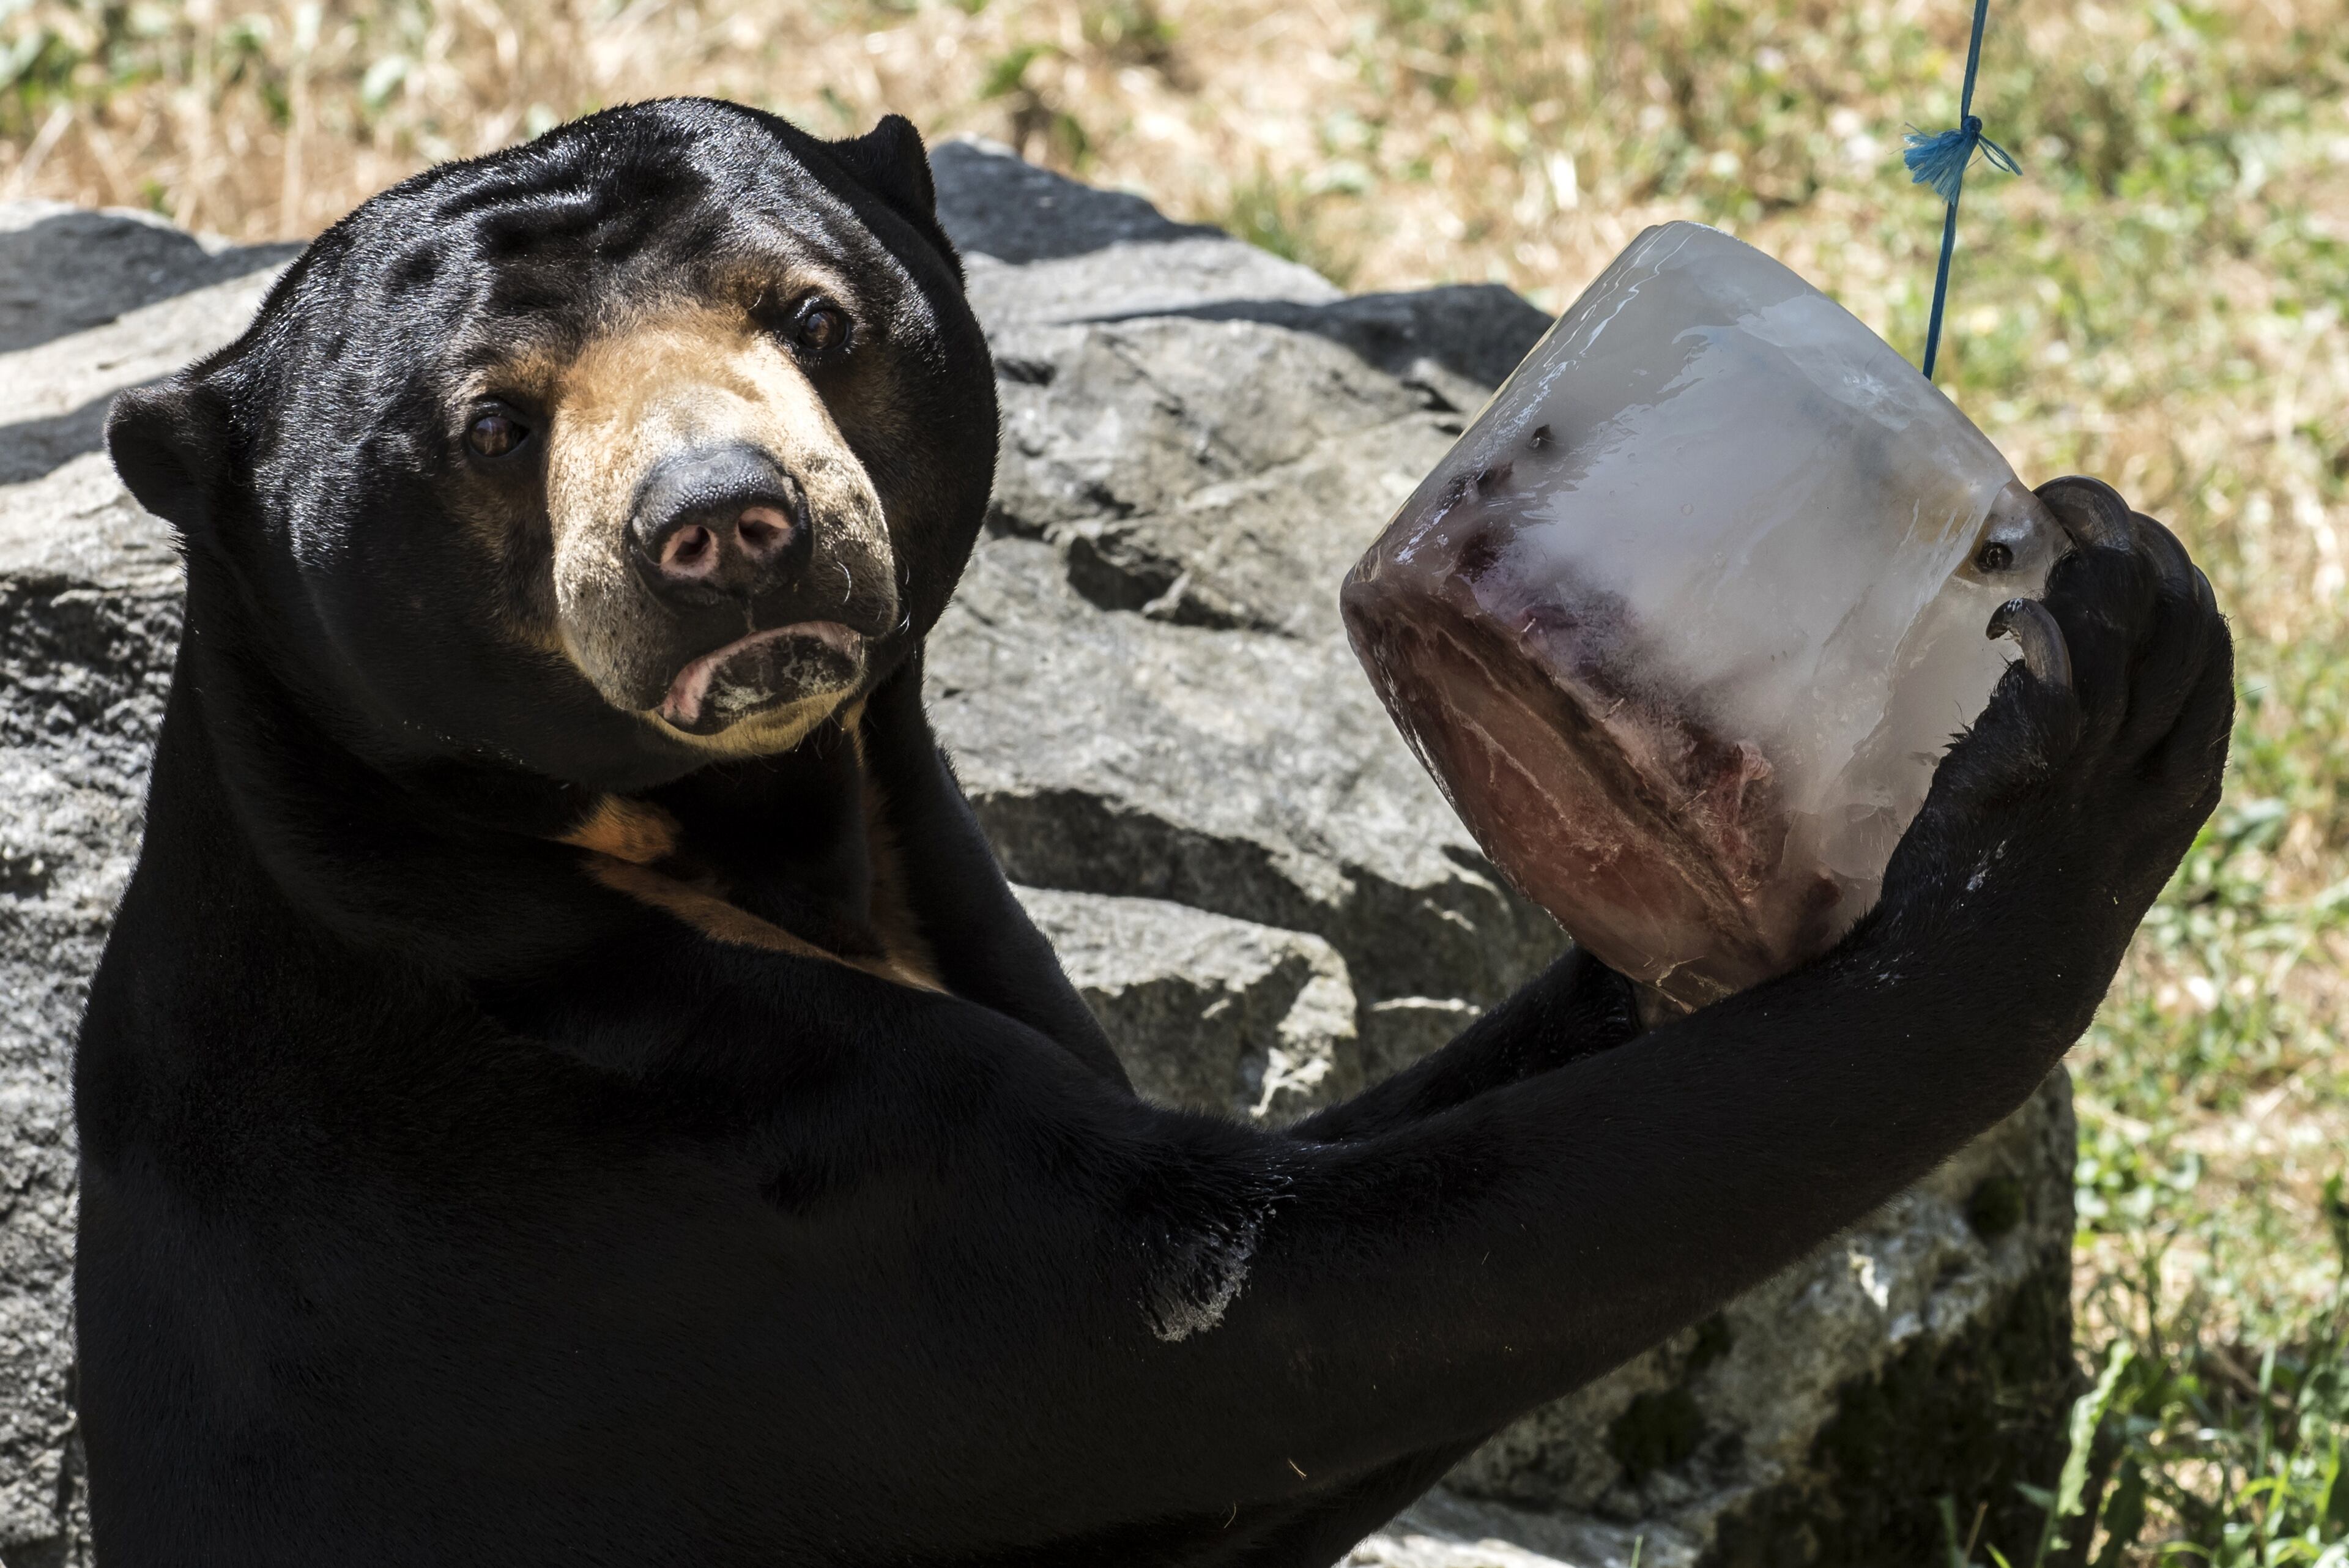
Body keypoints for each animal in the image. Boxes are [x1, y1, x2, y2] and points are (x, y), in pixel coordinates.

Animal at [78, 96, 2232, 1566]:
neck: (708, 827)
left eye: (814, 316)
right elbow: (1298, 1302)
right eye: (490, 426)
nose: (721, 525)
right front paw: (2085, 741)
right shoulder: (682, 1189)